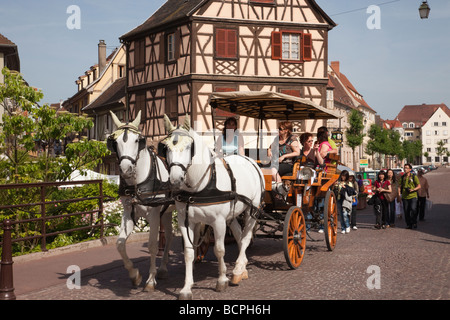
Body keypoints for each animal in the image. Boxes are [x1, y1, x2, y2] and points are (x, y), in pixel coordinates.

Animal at [107, 111, 174, 292]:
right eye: (114, 142)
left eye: (137, 140)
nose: (125, 170)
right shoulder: (129, 212)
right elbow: (120, 243)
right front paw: (135, 275)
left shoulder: (154, 213)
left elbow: (151, 245)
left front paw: (150, 280)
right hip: (167, 212)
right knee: (169, 235)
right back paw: (163, 269)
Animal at [161, 115, 264, 300]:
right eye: (166, 147)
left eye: (189, 146)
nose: (175, 180)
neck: (199, 187)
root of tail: (250, 161)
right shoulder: (185, 221)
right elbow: (189, 252)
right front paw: (186, 287)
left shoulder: (218, 221)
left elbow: (219, 249)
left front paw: (221, 280)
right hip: (233, 213)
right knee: (238, 234)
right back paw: (242, 268)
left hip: (252, 210)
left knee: (246, 237)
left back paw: (238, 269)